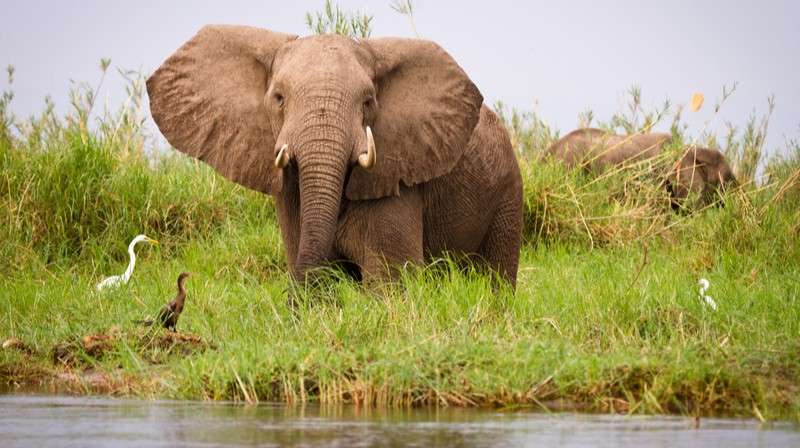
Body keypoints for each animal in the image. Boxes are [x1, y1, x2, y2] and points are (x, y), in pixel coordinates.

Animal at [147, 26, 523, 286]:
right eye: (279, 98)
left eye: (368, 101)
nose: (292, 300)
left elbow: (390, 282)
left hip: (508, 194)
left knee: (495, 277)